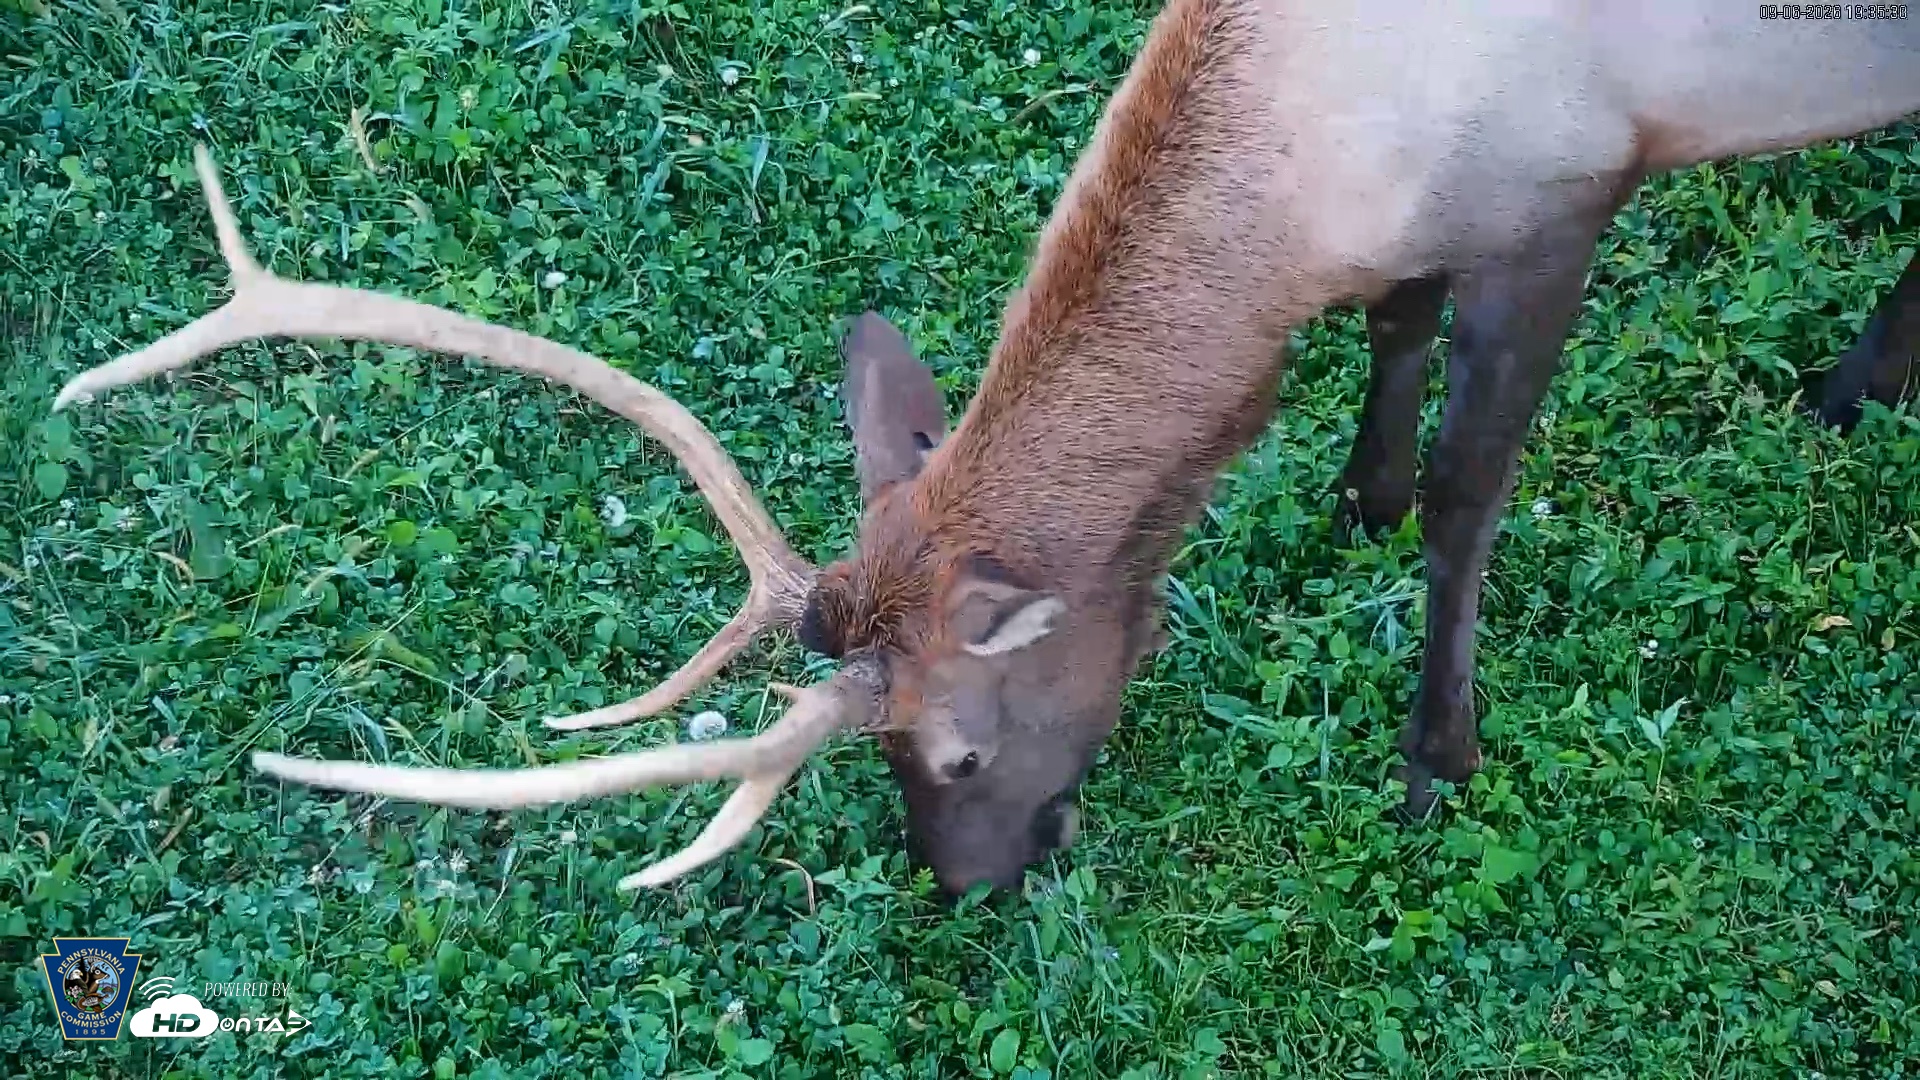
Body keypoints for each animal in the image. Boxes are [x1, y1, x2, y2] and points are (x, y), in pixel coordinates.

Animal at [53, 1, 1920, 897]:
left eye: (950, 753)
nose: (964, 893)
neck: (1344, 146)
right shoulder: (1433, 228)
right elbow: (1388, 352)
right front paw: (1353, 505)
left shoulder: (1566, 190)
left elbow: (1475, 498)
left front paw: (1435, 760)